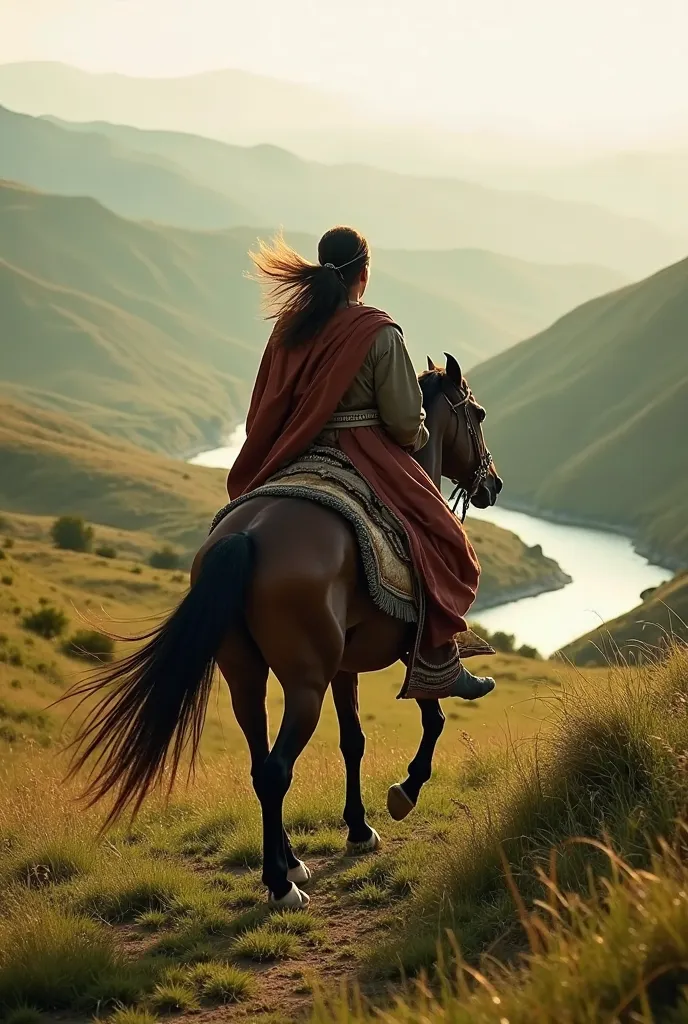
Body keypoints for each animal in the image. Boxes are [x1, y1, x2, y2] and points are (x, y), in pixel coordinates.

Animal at [67, 352, 501, 905]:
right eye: (479, 414)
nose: (493, 485)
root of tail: (247, 536)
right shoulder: (418, 643)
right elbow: (434, 717)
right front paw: (404, 792)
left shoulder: (344, 667)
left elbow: (353, 740)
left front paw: (358, 828)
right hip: (304, 683)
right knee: (276, 769)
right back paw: (280, 883)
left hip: (244, 674)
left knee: (260, 765)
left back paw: (290, 863)